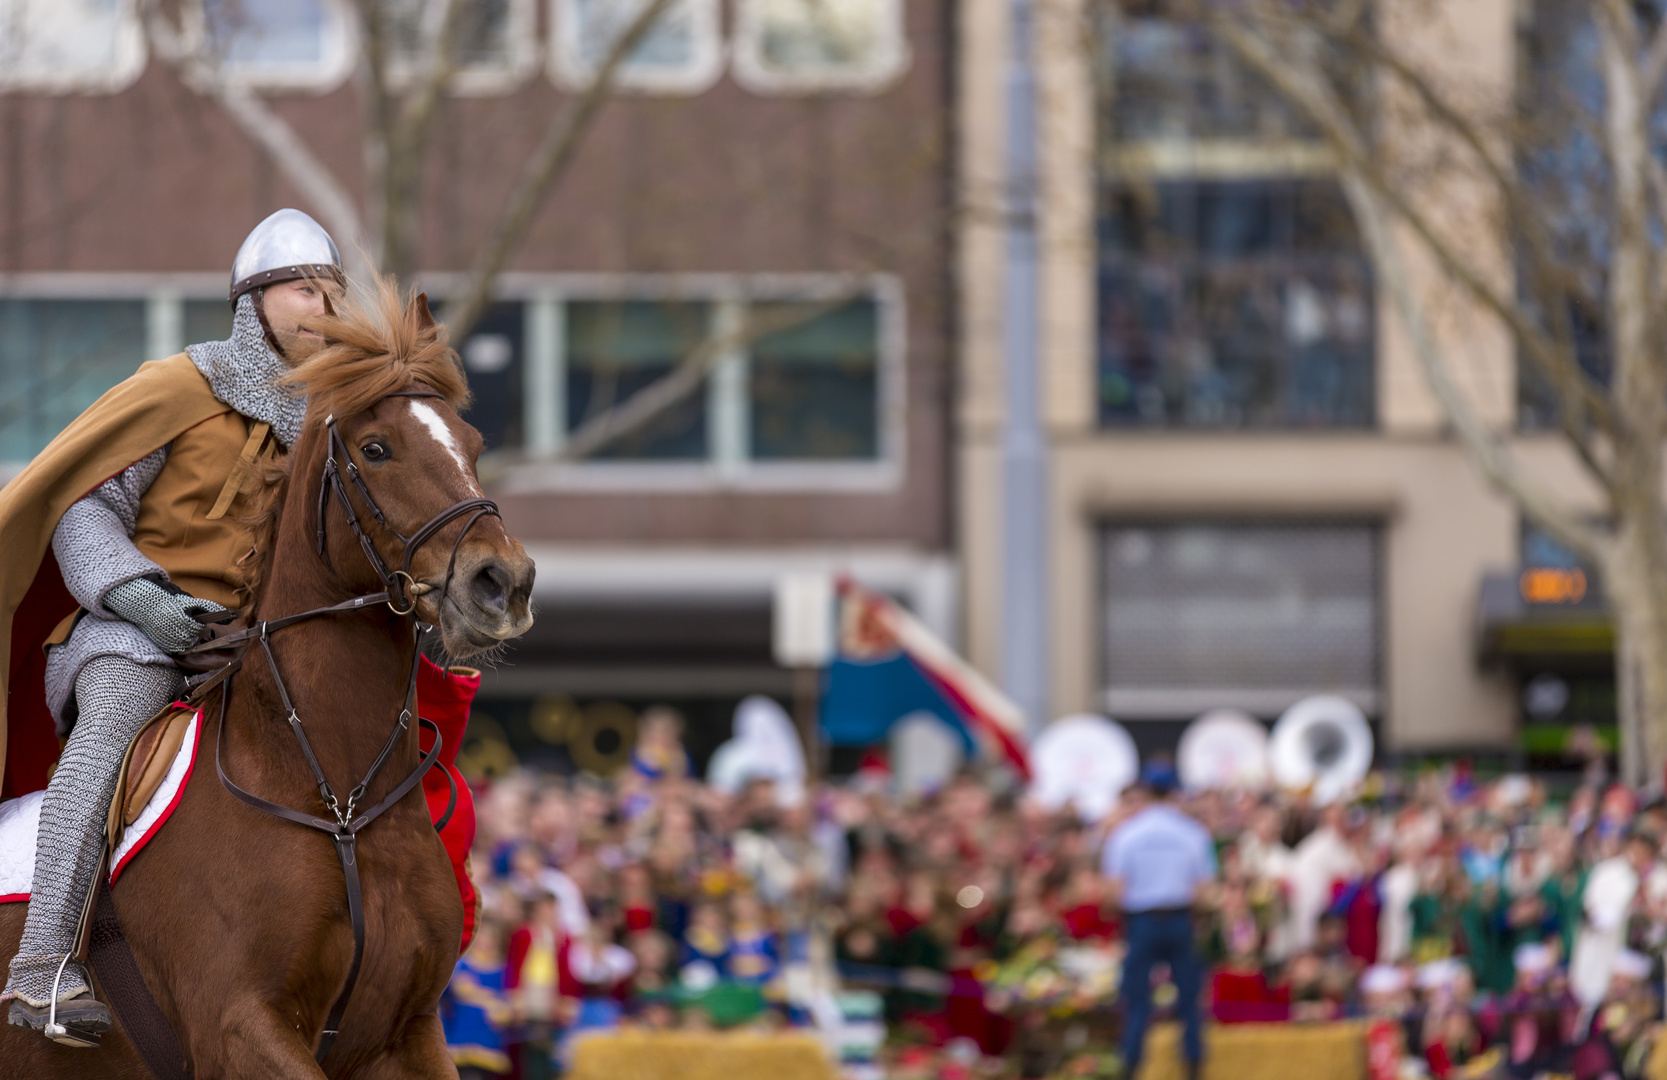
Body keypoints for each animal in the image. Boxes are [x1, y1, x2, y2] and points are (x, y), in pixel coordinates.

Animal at [0, 283, 533, 1073]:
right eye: (376, 449)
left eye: (471, 445)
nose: (502, 583)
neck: (334, 794)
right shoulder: (241, 1028)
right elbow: (87, 506)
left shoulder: (407, 1032)